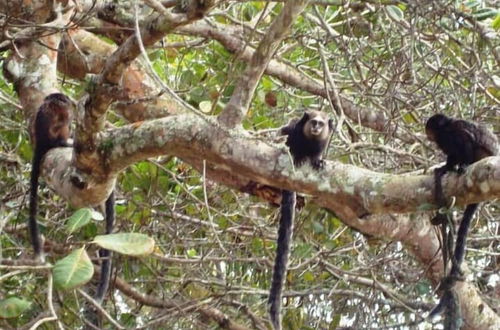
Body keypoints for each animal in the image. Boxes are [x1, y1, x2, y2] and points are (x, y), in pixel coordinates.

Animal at [29, 92, 74, 260]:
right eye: (64, 99)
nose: (67, 101)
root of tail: (42, 143)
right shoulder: (61, 109)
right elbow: (64, 120)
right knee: (62, 126)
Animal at [268, 111, 334, 330]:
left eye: (321, 124)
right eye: (313, 122)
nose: (315, 128)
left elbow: (318, 157)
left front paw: (317, 161)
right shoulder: (294, 129)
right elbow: (284, 133)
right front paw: (293, 152)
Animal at [424, 114, 498, 328]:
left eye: (431, 128)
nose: (429, 134)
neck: (445, 129)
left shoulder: (455, 131)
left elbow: (465, 144)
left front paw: (456, 166)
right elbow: (452, 155)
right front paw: (445, 168)